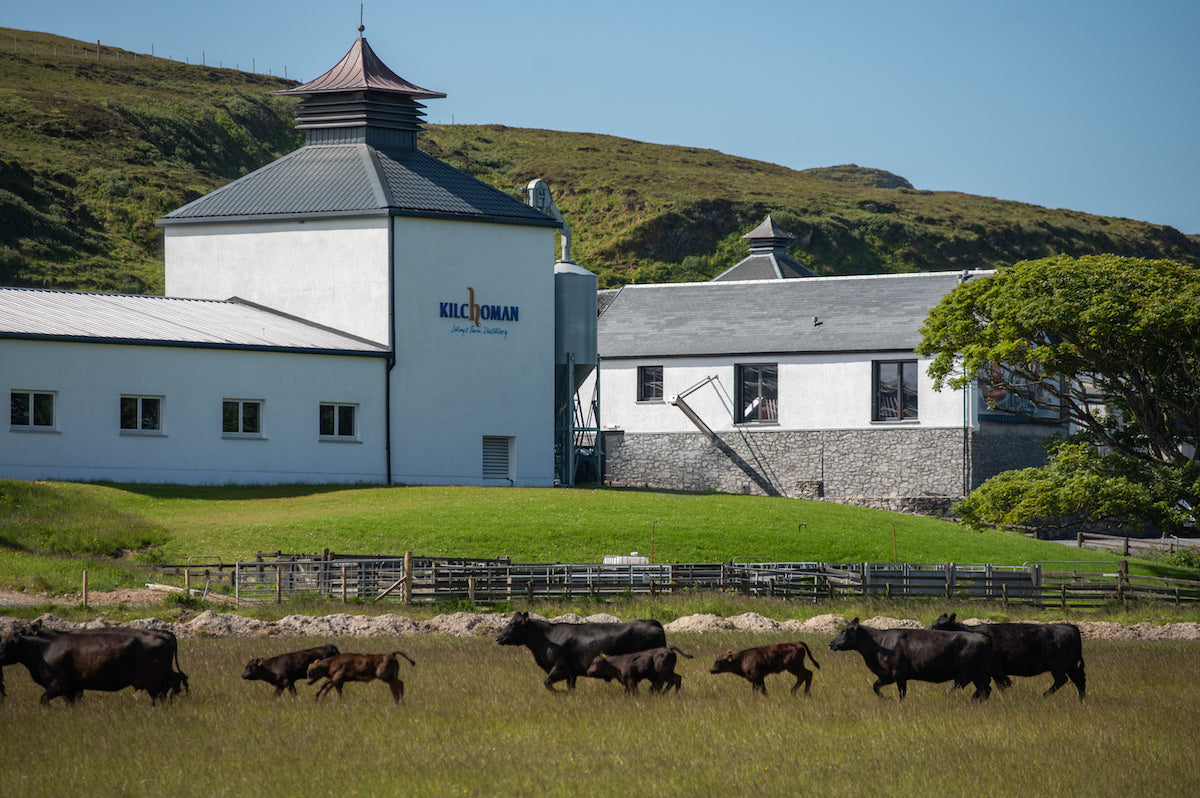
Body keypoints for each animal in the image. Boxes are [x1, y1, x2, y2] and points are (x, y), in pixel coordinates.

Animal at [0, 628, 180, 705]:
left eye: (6, 644)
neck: (45, 649)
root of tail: (162, 636)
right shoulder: (72, 689)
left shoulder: (59, 686)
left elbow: (43, 700)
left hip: (153, 683)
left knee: (159, 697)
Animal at [494, 609, 667, 691]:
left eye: (513, 624)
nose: (498, 638)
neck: (547, 639)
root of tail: (649, 622)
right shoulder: (571, 674)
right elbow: (570, 688)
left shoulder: (561, 668)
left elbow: (547, 683)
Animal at [830, 619, 988, 700]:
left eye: (844, 631)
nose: (830, 643)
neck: (879, 644)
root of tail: (982, 637)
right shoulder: (887, 675)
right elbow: (875, 687)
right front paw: (887, 698)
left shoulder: (899, 673)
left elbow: (902, 693)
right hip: (977, 675)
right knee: (986, 690)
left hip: (966, 674)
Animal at [926, 609, 1089, 696]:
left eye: (936, 627)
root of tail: (1070, 627)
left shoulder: (995, 671)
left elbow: (1001, 685)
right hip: (1070, 666)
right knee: (1078, 680)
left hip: (1058, 666)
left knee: (1063, 680)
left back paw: (1045, 695)